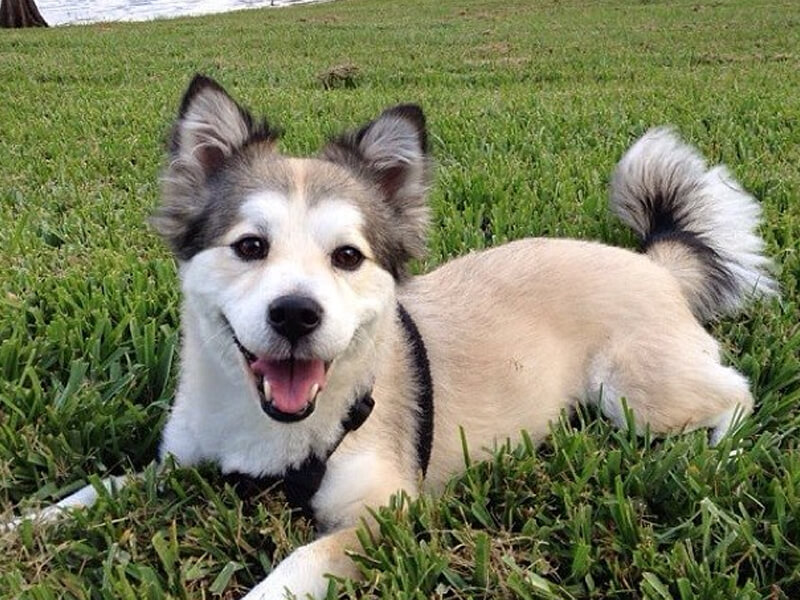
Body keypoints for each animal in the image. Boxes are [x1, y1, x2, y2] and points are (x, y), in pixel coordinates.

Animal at [9, 76, 780, 600]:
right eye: (250, 246)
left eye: (348, 257)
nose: (296, 315)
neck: (274, 432)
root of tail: (652, 260)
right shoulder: (181, 464)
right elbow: (97, 489)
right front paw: (20, 526)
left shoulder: (386, 511)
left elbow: (293, 565)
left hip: (638, 393)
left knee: (735, 392)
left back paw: (724, 451)